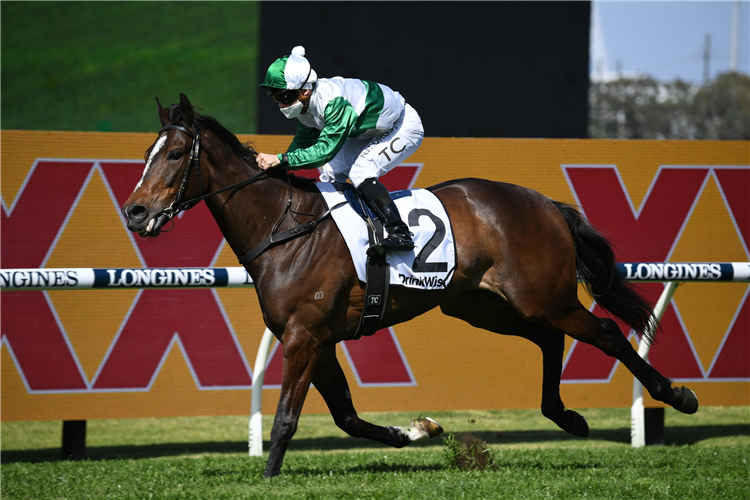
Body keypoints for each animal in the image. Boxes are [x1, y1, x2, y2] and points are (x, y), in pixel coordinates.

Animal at [120, 95, 704, 478]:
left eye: (175, 155)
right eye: (147, 153)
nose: (135, 212)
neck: (284, 228)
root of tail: (544, 202)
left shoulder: (304, 337)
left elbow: (287, 417)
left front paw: (267, 480)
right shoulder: (318, 339)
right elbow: (347, 417)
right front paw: (419, 431)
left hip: (542, 297)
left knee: (604, 332)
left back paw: (676, 394)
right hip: (483, 306)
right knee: (549, 338)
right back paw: (567, 416)